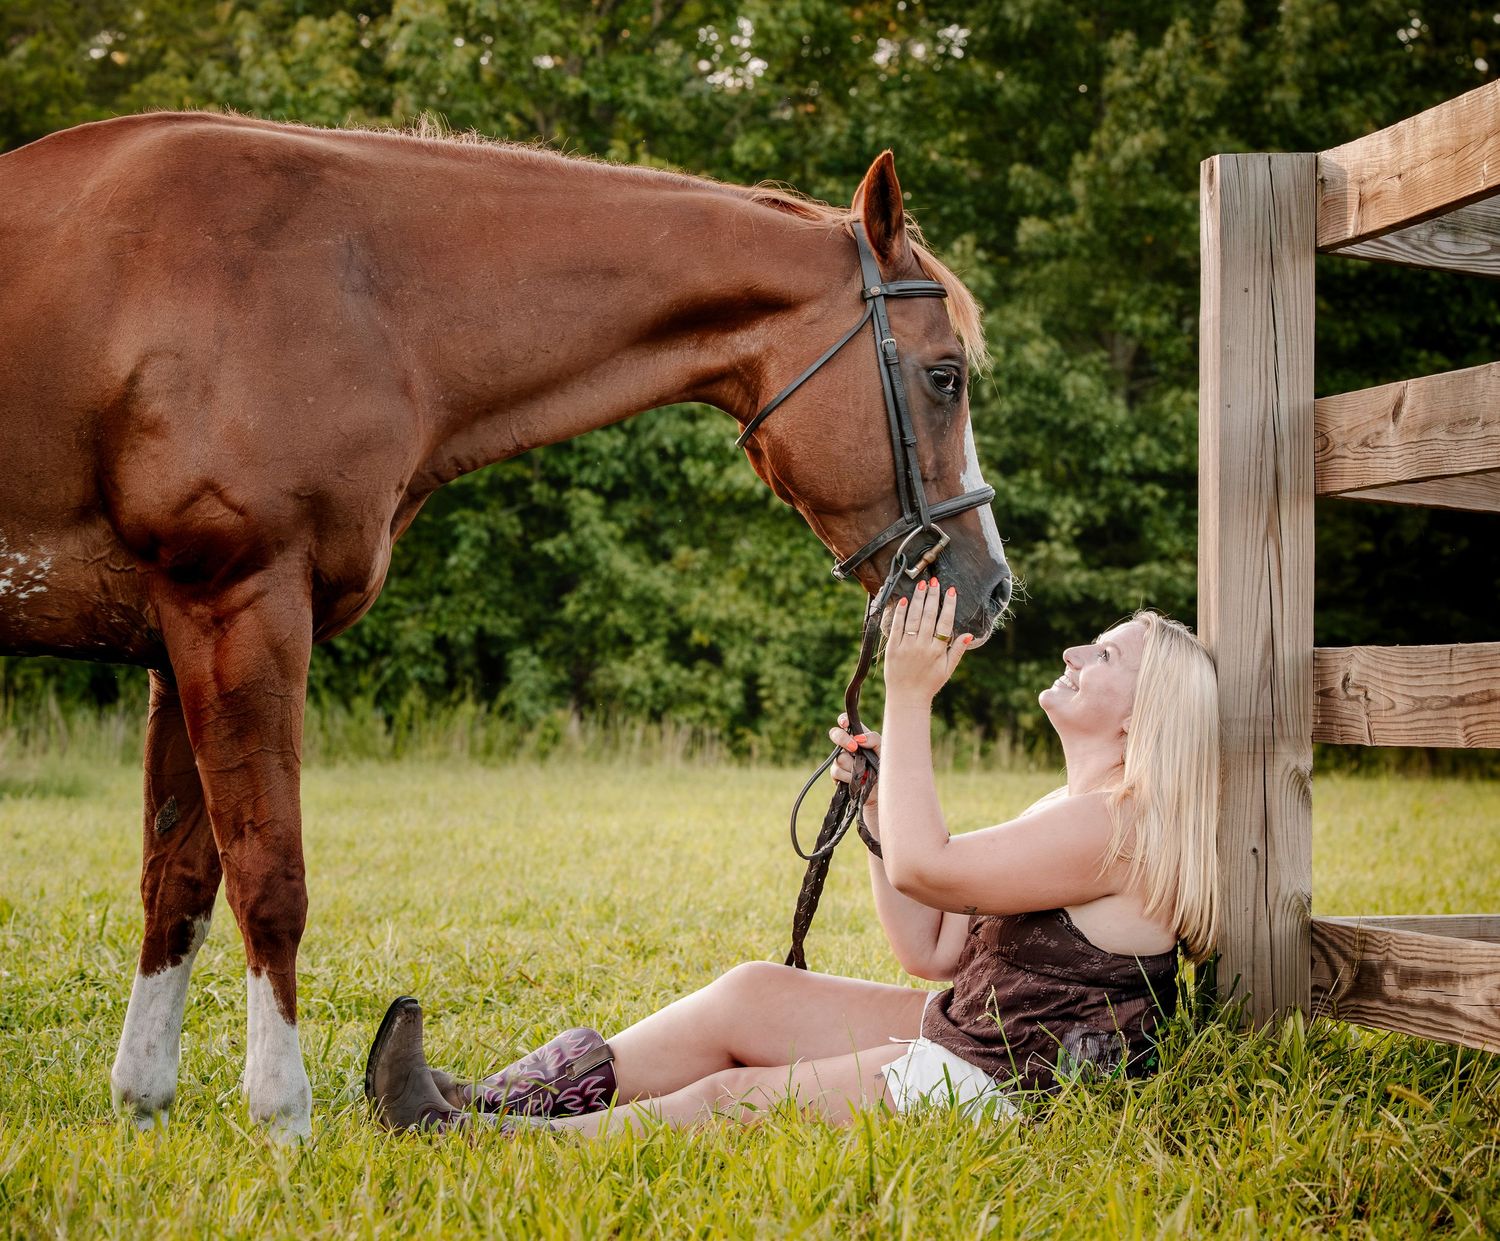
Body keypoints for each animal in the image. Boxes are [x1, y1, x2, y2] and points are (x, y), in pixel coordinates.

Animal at [0, 112, 1012, 1139]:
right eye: (944, 377)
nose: (992, 586)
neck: (343, 291)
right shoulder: (238, 608)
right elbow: (266, 879)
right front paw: (283, 1120)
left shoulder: (183, 642)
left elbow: (177, 885)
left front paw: (143, 1105)